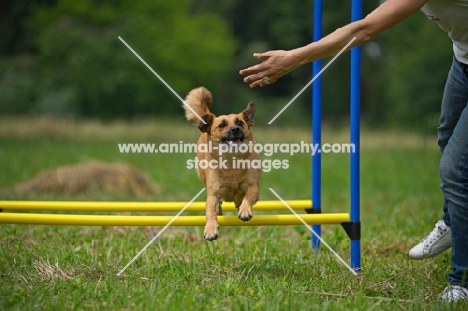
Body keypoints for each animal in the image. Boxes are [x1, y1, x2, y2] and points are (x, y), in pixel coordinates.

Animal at [183, 87, 262, 241]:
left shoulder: (253, 186)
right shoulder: (213, 193)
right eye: (222, 125)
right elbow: (210, 211)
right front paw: (210, 229)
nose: (235, 129)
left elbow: (248, 197)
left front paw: (245, 210)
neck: (232, 161)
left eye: (240, 123)